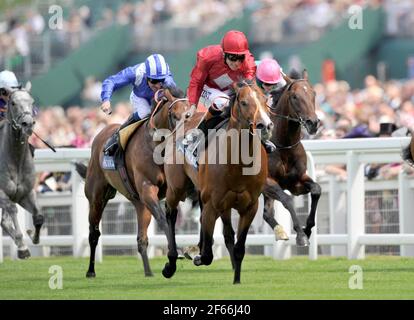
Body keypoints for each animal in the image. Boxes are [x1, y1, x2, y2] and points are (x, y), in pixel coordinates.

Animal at [75, 87, 193, 278]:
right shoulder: (147, 189)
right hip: (97, 198)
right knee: (94, 233)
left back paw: (148, 272)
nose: (186, 138)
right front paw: (175, 257)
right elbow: (162, 219)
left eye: (191, 114)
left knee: (141, 239)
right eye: (174, 115)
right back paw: (91, 271)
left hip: (139, 203)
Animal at [163, 79, 274, 282]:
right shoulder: (212, 204)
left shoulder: (249, 206)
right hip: (176, 188)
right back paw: (171, 263)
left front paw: (237, 280)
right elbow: (207, 255)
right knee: (170, 213)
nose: (266, 126)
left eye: (265, 100)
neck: (238, 162)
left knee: (227, 234)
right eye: (244, 102)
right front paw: (198, 256)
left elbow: (239, 248)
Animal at [262, 69, 320, 245]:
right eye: (295, 96)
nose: (313, 123)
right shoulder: (266, 182)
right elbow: (287, 200)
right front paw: (301, 235)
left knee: (267, 213)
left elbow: (316, 189)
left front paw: (307, 230)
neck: (283, 146)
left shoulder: (296, 182)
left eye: (314, 93)